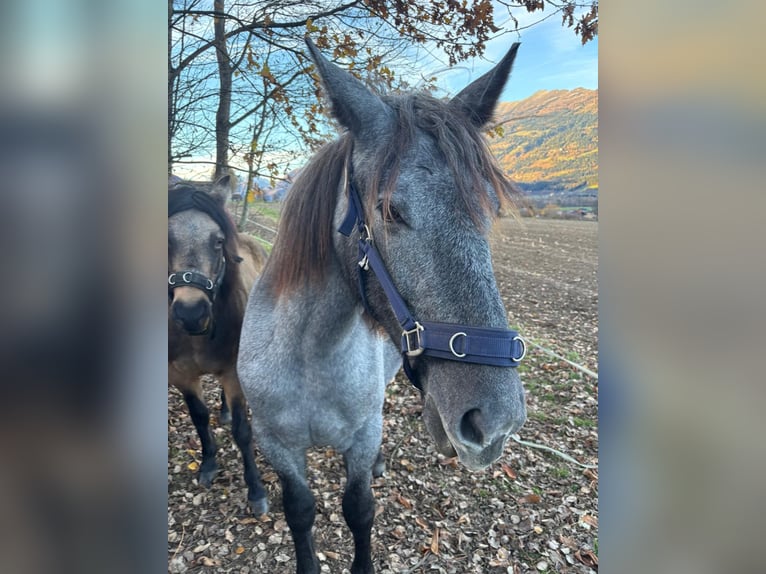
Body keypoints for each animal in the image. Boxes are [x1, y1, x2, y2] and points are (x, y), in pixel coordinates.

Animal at [168, 175, 269, 516]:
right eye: (166, 239)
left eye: (217, 241)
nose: (191, 312)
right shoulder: (182, 377)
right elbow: (199, 418)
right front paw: (208, 465)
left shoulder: (233, 373)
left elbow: (242, 431)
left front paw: (256, 490)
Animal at [237, 38, 528, 573]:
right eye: (390, 209)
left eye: (490, 210)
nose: (496, 421)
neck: (310, 356)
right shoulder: (277, 445)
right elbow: (300, 511)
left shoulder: (362, 434)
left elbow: (359, 509)